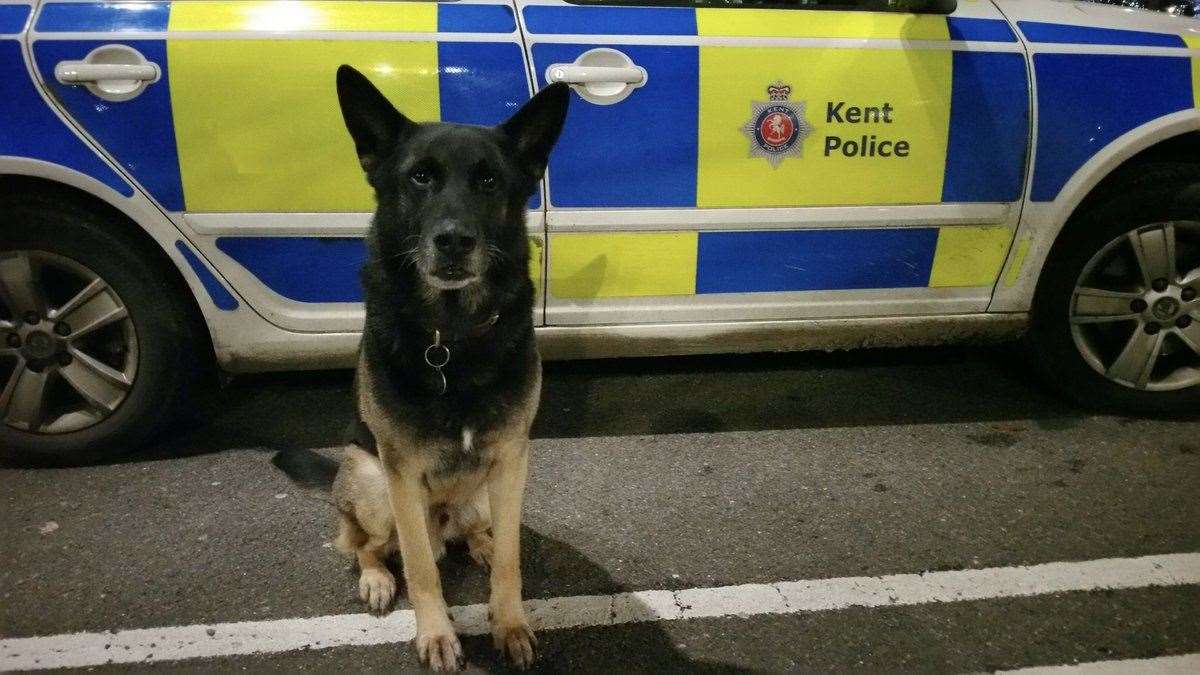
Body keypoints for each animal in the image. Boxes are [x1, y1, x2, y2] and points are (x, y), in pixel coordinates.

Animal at [331, 65, 568, 662]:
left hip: (485, 491)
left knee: (475, 533)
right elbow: (419, 568)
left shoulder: (511, 457)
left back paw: (478, 541)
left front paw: (509, 622)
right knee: (363, 542)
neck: (452, 337)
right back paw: (376, 576)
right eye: (419, 177)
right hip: (372, 482)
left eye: (489, 181)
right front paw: (436, 633)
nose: (454, 241)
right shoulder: (400, 471)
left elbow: (510, 560)